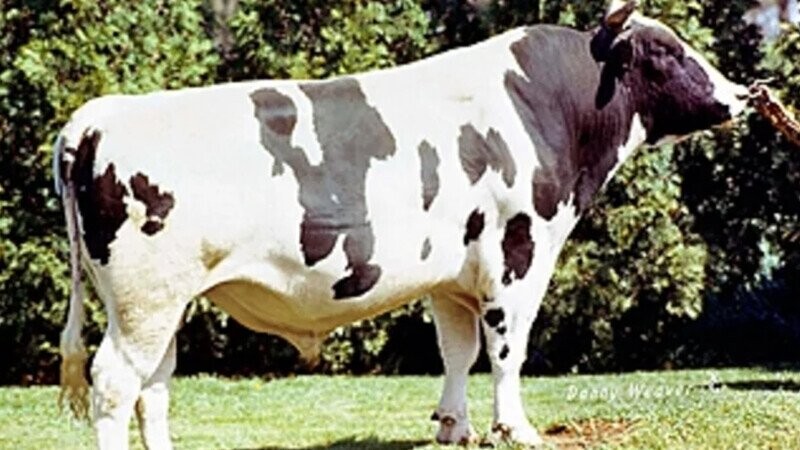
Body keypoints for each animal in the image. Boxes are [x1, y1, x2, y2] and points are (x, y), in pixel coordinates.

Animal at [54, 1, 749, 448]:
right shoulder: (518, 253)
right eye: (667, 50)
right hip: (144, 300)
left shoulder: (454, 276)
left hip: (160, 303)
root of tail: (97, 115)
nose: (739, 95)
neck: (547, 104)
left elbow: (458, 350)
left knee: (153, 387)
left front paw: (454, 427)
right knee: (115, 384)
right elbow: (507, 348)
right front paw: (516, 430)